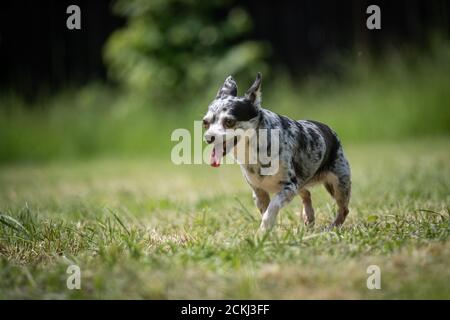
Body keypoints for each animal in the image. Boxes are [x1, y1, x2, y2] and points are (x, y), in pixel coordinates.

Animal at [202, 73, 350, 231]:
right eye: (205, 123)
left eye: (229, 122)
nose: (208, 137)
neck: (253, 150)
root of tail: (330, 131)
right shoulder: (259, 192)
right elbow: (265, 211)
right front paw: (268, 232)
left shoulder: (288, 187)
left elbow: (272, 208)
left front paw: (263, 231)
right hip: (303, 184)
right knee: (307, 193)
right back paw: (309, 217)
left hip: (339, 185)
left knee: (344, 209)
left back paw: (332, 227)